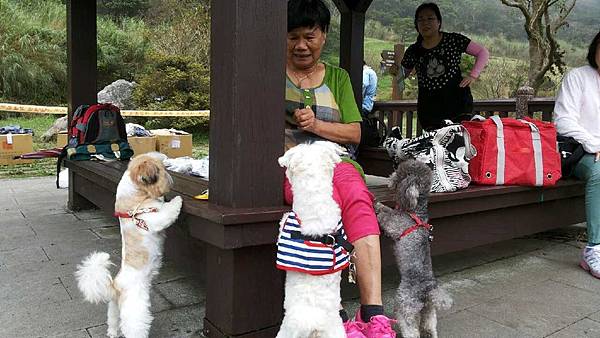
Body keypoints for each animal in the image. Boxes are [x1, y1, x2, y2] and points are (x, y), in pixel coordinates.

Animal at [75, 153, 183, 338]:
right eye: (162, 171)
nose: (171, 180)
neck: (135, 200)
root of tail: (115, 286)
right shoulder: (154, 219)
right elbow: (168, 211)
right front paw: (177, 200)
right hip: (135, 309)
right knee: (134, 328)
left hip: (114, 309)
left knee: (113, 322)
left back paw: (112, 333)